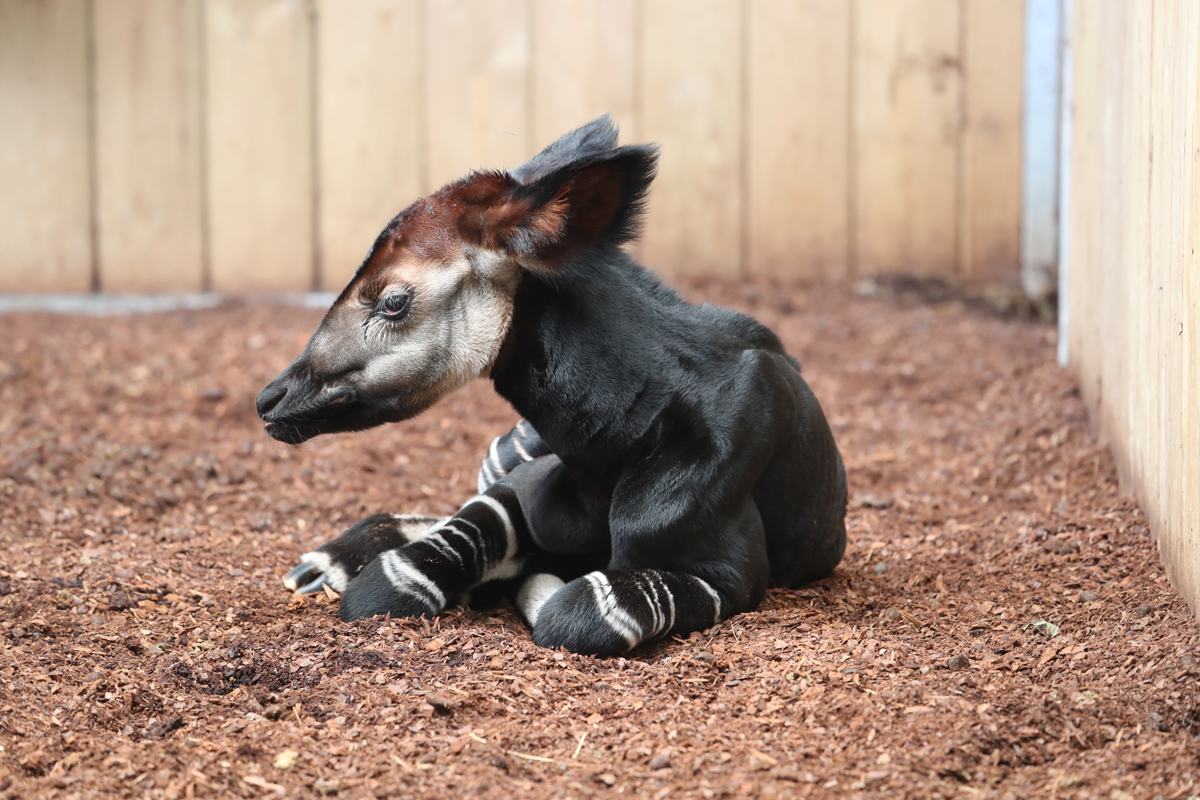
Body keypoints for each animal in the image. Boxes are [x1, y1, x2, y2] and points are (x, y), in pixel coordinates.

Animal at [258, 118, 849, 657]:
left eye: (393, 301)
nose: (270, 400)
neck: (615, 440)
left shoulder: (729, 573)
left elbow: (578, 610)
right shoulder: (522, 490)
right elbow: (409, 569)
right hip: (505, 449)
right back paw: (323, 565)